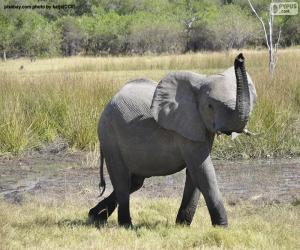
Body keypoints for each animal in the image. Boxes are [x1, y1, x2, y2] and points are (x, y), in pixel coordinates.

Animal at [88, 53, 256, 228]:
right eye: (210, 106)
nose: (240, 57)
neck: (200, 83)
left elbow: (195, 173)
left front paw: (182, 225)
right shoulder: (185, 128)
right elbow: (203, 171)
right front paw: (222, 227)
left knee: (134, 181)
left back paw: (95, 216)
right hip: (109, 136)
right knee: (121, 179)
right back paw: (125, 225)